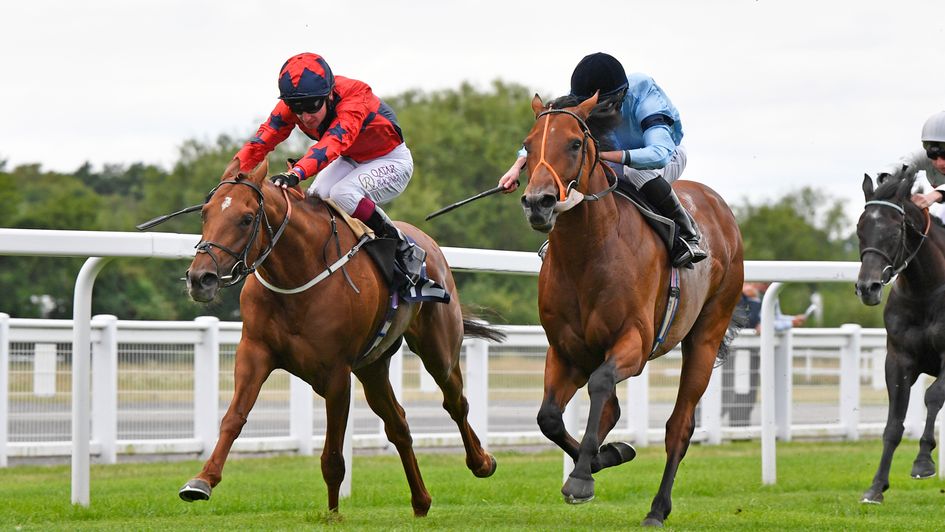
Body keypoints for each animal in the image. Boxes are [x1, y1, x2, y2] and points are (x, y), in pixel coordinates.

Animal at [178, 159, 502, 516]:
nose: (200, 278)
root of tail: (430, 246)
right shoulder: (255, 352)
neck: (297, 273)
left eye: (246, 218)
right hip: (373, 367)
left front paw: (333, 514)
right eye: (205, 213)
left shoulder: (336, 372)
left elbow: (333, 455)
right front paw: (202, 480)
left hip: (437, 349)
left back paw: (482, 462)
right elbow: (233, 417)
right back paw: (421, 501)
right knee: (398, 424)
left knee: (456, 402)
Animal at [516, 93, 744, 524]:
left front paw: (582, 478)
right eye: (528, 143)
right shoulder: (566, 351)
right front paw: (603, 456)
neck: (588, 252)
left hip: (706, 335)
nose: (539, 203)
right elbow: (549, 417)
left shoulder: (633, 343)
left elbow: (602, 383)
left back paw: (658, 508)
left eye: (575, 143)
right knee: (610, 411)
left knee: (679, 425)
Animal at [856, 174, 944, 502]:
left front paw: (923, 462)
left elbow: (933, 397)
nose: (867, 287)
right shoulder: (897, 360)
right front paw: (876, 487)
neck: (926, 292)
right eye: (860, 228)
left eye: (894, 230)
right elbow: (893, 423)